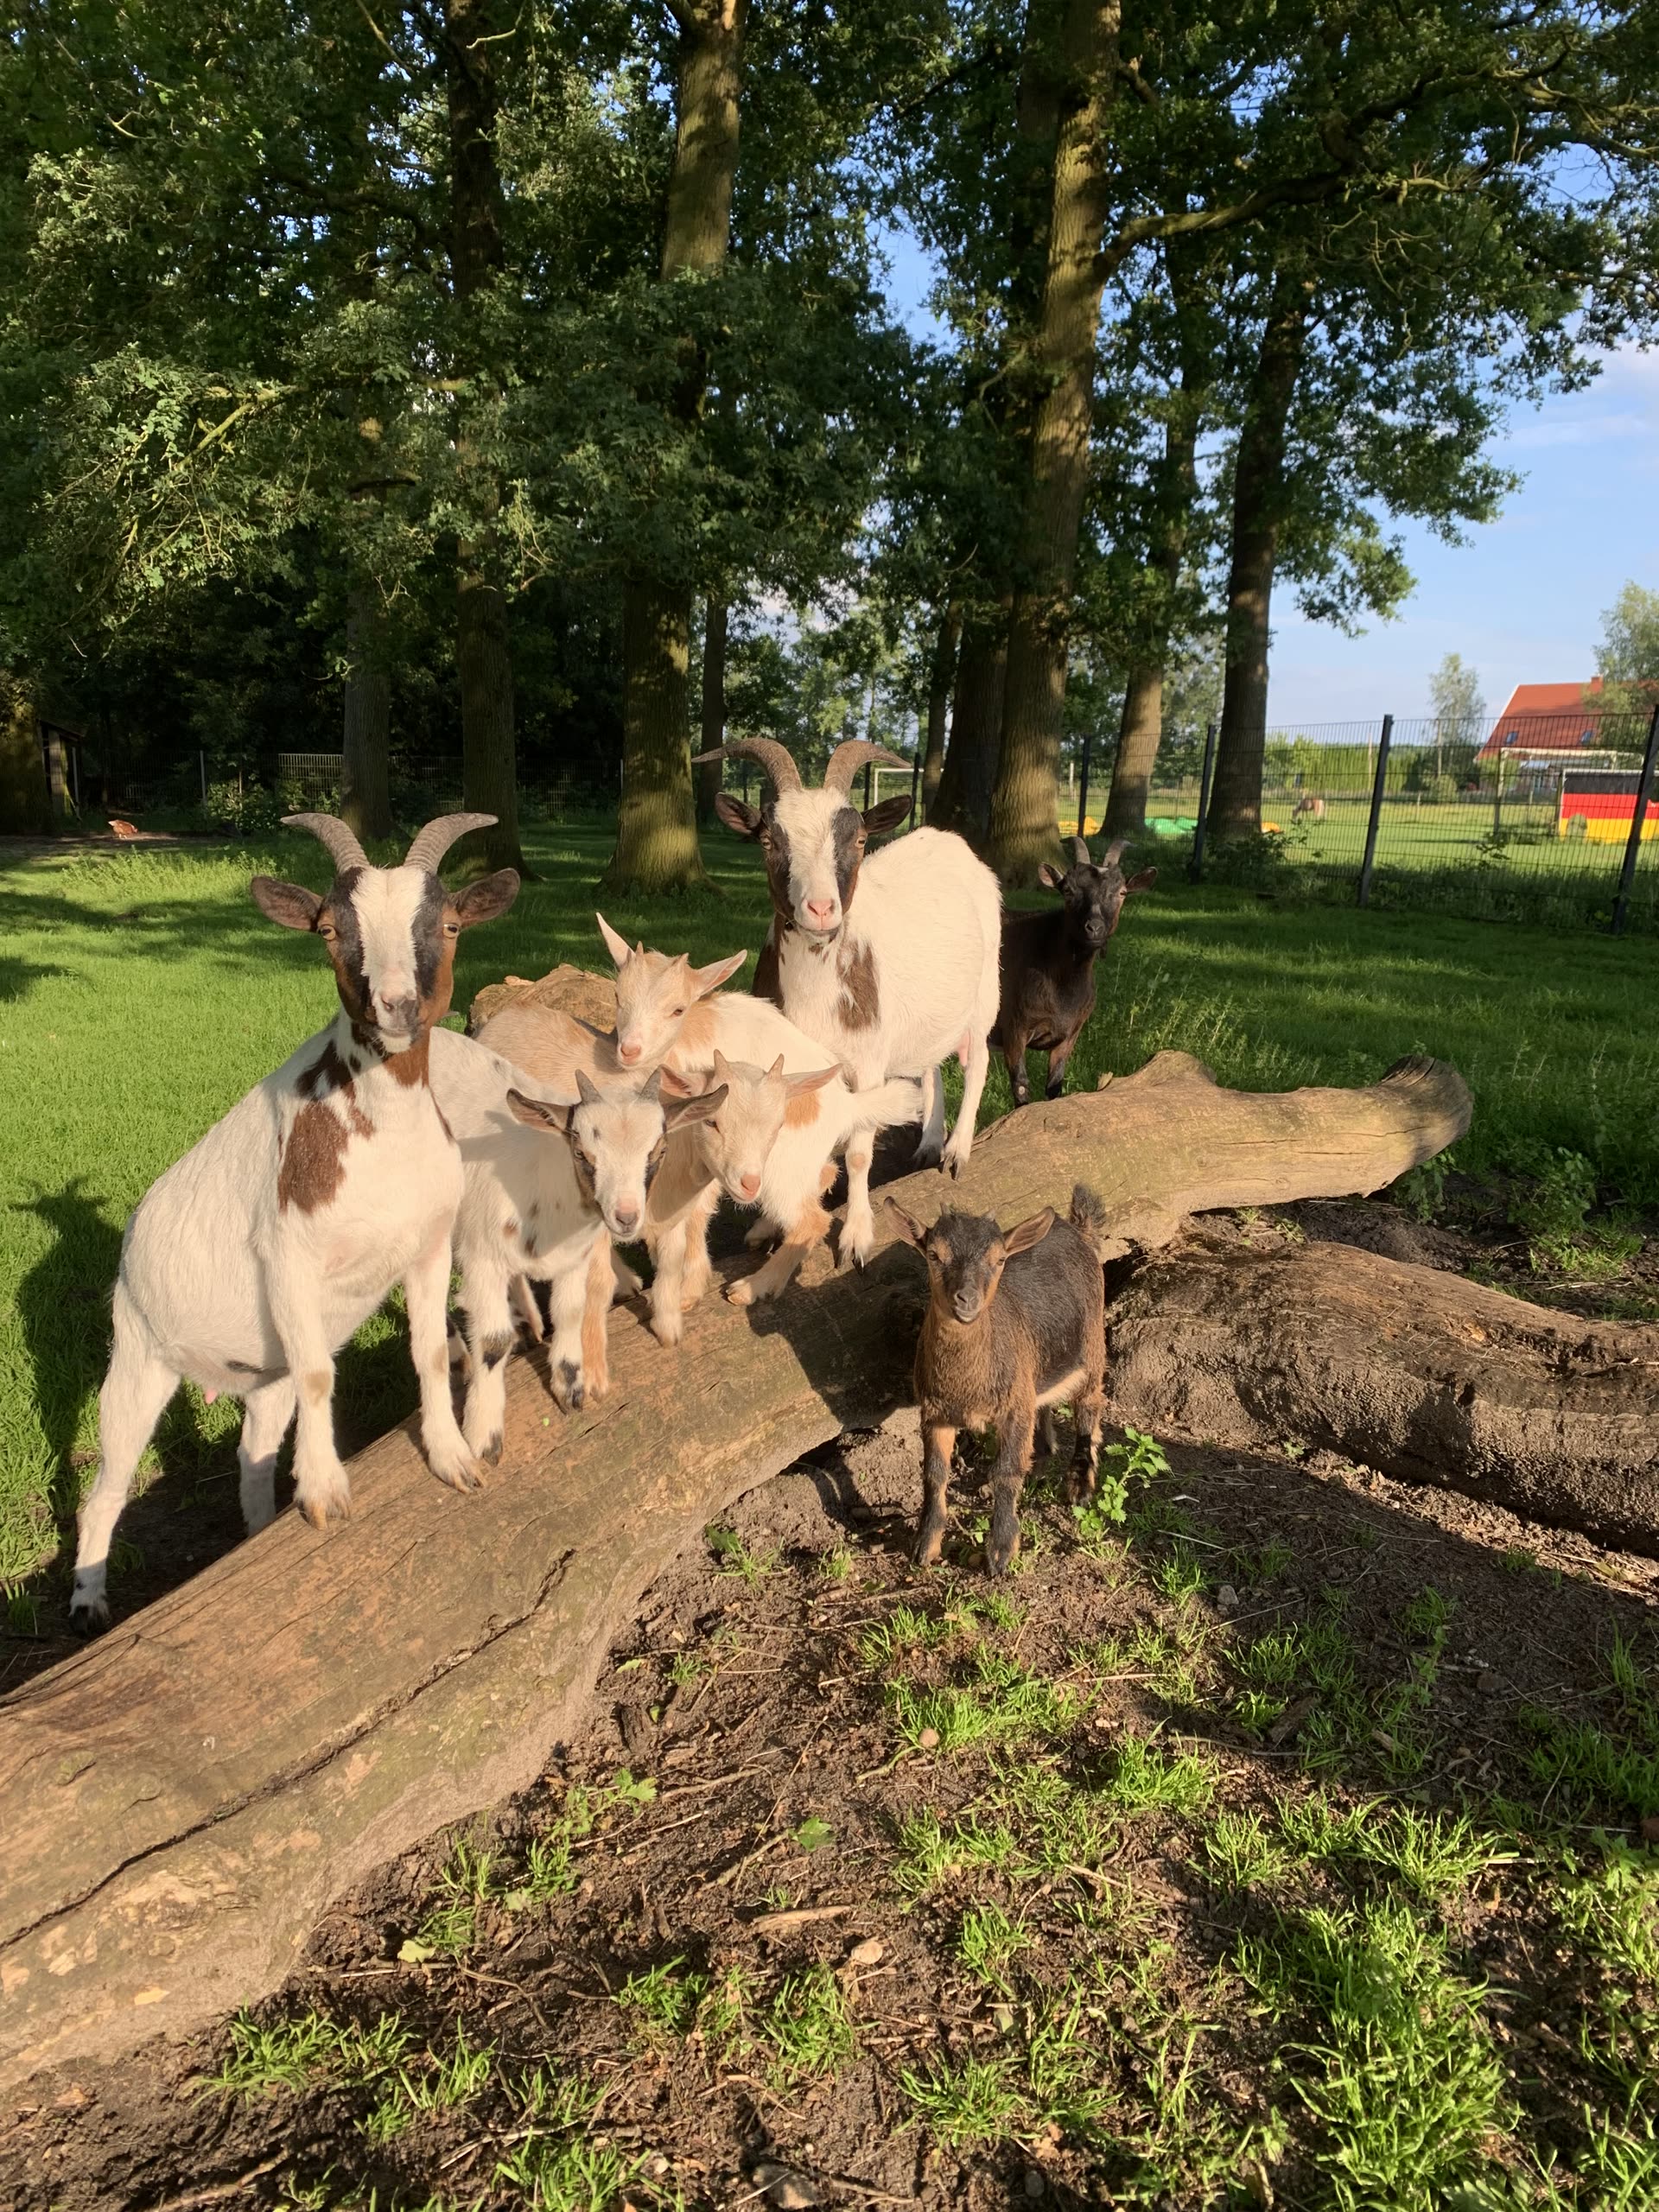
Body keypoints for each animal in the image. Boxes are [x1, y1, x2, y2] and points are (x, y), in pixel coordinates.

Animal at [70, 812, 519, 1630]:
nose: (396, 1006)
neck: (380, 1133)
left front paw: (452, 1459)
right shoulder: (288, 1257)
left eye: (448, 923)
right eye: (329, 931)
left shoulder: (427, 1246)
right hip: (139, 1353)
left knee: (251, 1449)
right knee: (108, 1485)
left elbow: (430, 1351)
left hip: (258, 1371)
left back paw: (256, 1529)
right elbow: (321, 1373)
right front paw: (324, 1493)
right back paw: (89, 1603)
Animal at [428, 1033, 725, 1458]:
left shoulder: (574, 1258)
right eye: (583, 1153)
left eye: (658, 1151)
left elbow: (569, 1311)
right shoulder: (482, 1258)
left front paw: (571, 1390)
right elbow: (493, 1341)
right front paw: (483, 1435)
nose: (626, 1217)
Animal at [694, 735, 1002, 1247]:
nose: (820, 908)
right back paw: (930, 1143)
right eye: (768, 841)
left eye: (858, 840)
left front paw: (856, 1233)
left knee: (977, 1061)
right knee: (931, 1064)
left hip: (986, 992)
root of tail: (951, 841)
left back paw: (957, 1150)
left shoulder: (868, 1061)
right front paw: (769, 1225)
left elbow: (858, 1151)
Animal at [884, 1185, 1110, 1575]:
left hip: (1093, 1344)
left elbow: (1004, 1473)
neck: (966, 1383)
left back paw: (1079, 1484)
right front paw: (925, 1545)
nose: (966, 1299)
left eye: (1000, 1259)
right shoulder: (935, 1413)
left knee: (1089, 1407)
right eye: (934, 1254)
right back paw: (1042, 1455)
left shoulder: (1012, 1410)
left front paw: (1002, 1551)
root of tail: (1078, 1230)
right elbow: (934, 1474)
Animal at [991, 835, 1156, 1107]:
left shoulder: (1070, 1035)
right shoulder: (1014, 1027)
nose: (1095, 927)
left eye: (1121, 892)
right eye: (1068, 890)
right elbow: (1022, 1087)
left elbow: (1055, 1085)